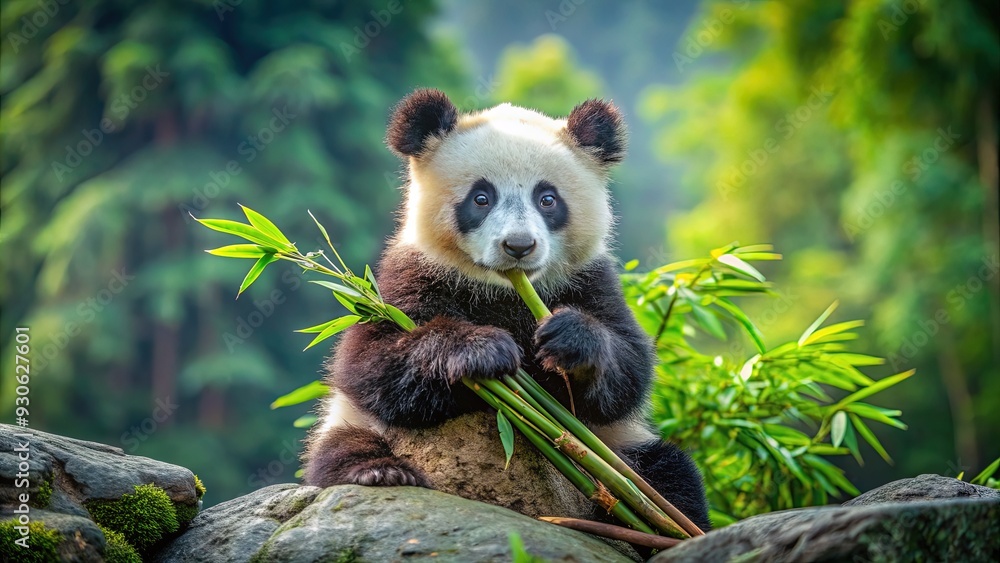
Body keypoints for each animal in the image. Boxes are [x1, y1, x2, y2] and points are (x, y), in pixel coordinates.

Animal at [303, 88, 710, 531]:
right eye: (481, 198)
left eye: (547, 199)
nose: (518, 246)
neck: (504, 290)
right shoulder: (410, 277)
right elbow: (369, 361)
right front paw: (483, 350)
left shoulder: (590, 281)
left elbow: (629, 370)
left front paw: (570, 340)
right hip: (354, 425)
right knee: (339, 450)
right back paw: (381, 472)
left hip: (619, 451)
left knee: (669, 476)